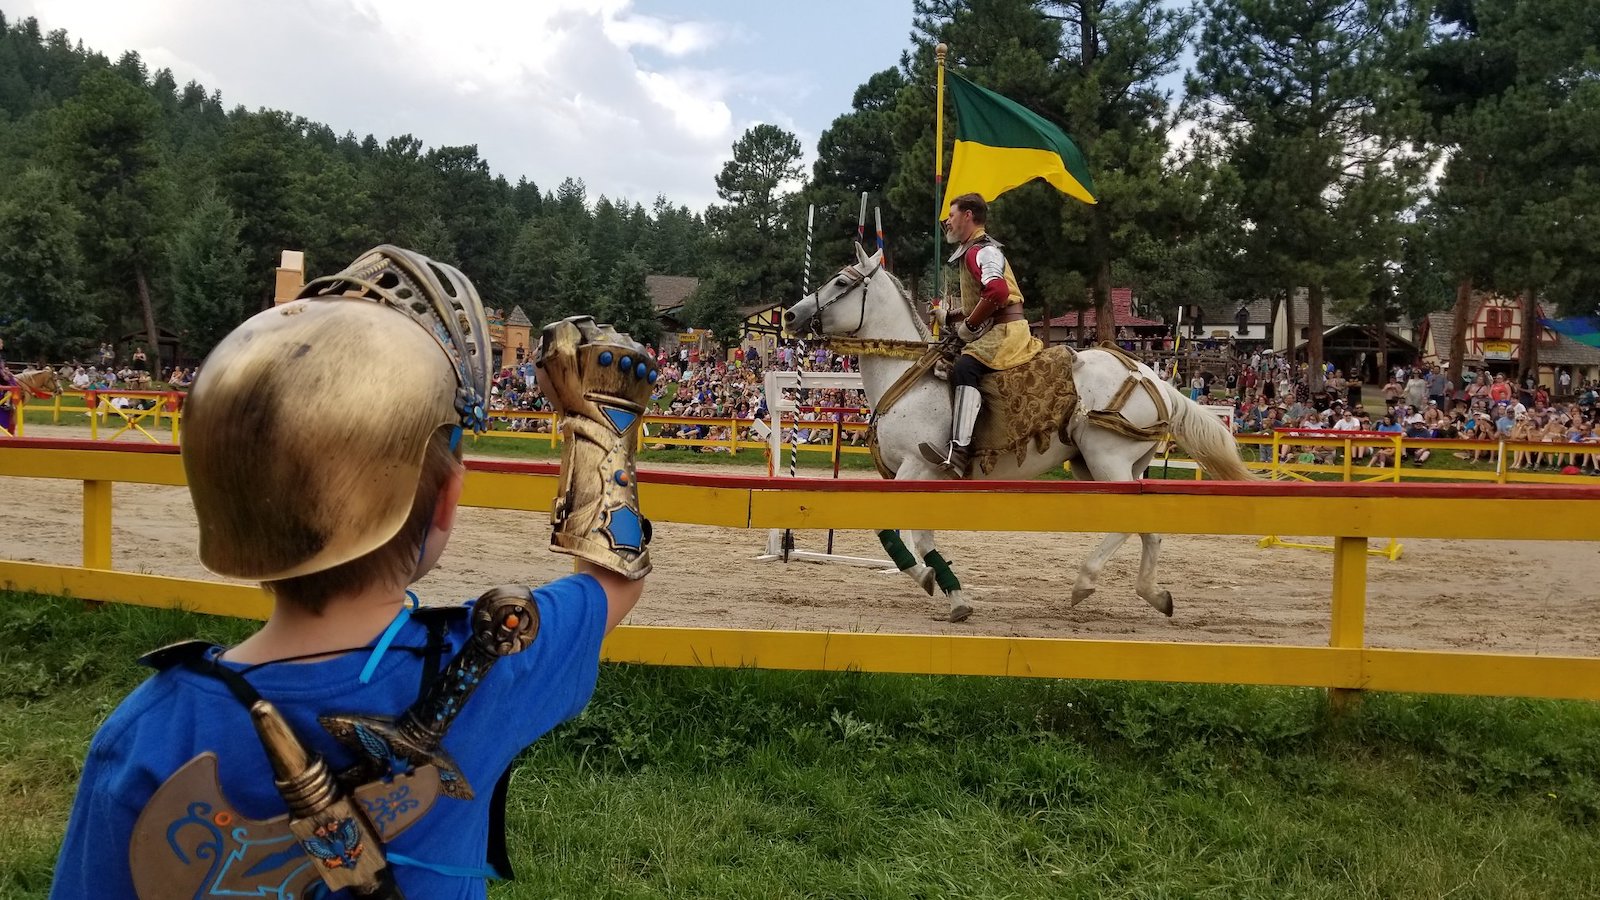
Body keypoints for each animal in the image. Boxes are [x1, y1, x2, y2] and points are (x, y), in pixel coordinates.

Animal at [780, 245, 1254, 624]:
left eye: (842, 281)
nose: (790, 314)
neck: (909, 375)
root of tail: (1149, 376)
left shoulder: (915, 468)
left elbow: (893, 532)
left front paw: (926, 577)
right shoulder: (923, 478)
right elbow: (922, 537)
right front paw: (953, 594)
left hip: (1109, 461)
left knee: (1126, 525)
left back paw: (1085, 582)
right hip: (1105, 467)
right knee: (1148, 530)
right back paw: (1154, 595)